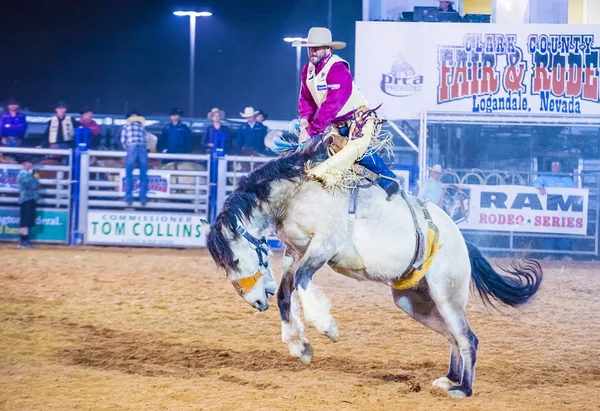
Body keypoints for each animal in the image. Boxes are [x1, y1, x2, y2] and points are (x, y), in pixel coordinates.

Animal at [204, 142, 540, 400]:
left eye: (235, 261)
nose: (255, 302)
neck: (298, 192)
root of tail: (460, 239)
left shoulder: (324, 245)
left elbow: (301, 281)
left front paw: (327, 327)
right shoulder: (294, 250)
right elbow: (286, 293)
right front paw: (299, 346)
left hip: (448, 295)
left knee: (468, 337)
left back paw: (463, 389)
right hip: (412, 301)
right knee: (453, 337)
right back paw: (449, 379)